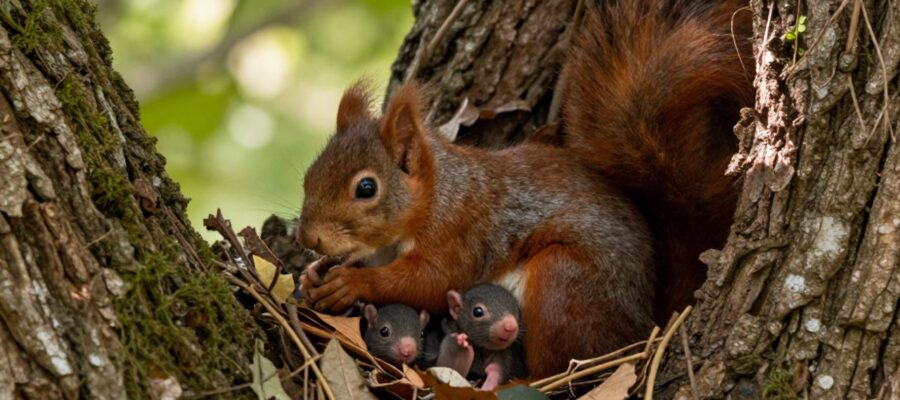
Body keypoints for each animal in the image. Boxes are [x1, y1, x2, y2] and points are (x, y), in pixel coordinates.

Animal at [298, 0, 753, 377]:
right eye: (308, 176)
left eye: (366, 188)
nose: (308, 238)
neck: (434, 198)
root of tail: (647, 321)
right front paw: (312, 273)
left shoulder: (460, 236)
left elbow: (426, 281)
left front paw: (352, 283)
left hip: (561, 286)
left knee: (556, 363)